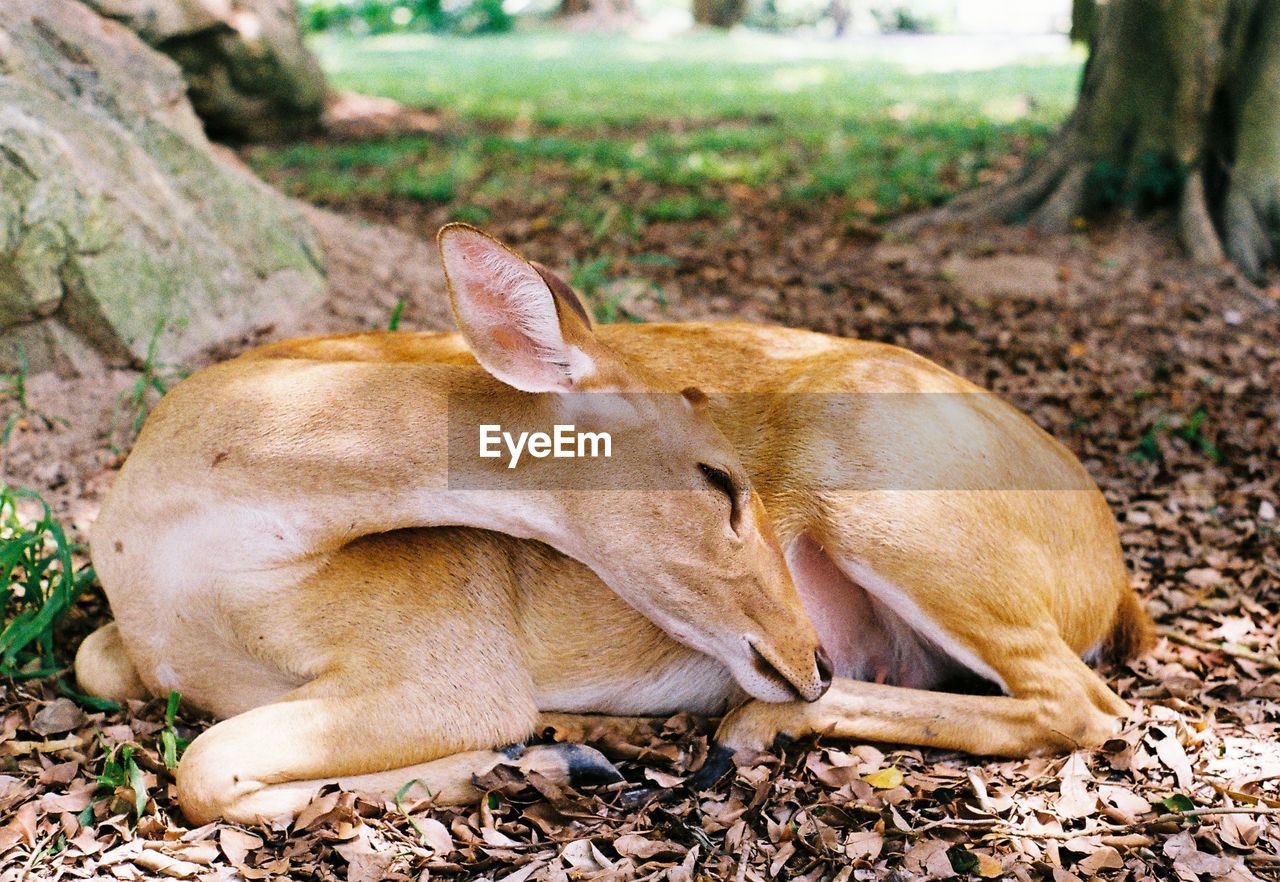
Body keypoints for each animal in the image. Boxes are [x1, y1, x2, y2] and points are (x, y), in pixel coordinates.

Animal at [74, 221, 1157, 824]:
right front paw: (550, 755)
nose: (808, 652)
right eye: (717, 480)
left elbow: (205, 764)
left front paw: (531, 756)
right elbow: (110, 681)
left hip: (898, 500)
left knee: (1082, 705)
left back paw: (731, 727)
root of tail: (1111, 575)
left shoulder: (451, 661)